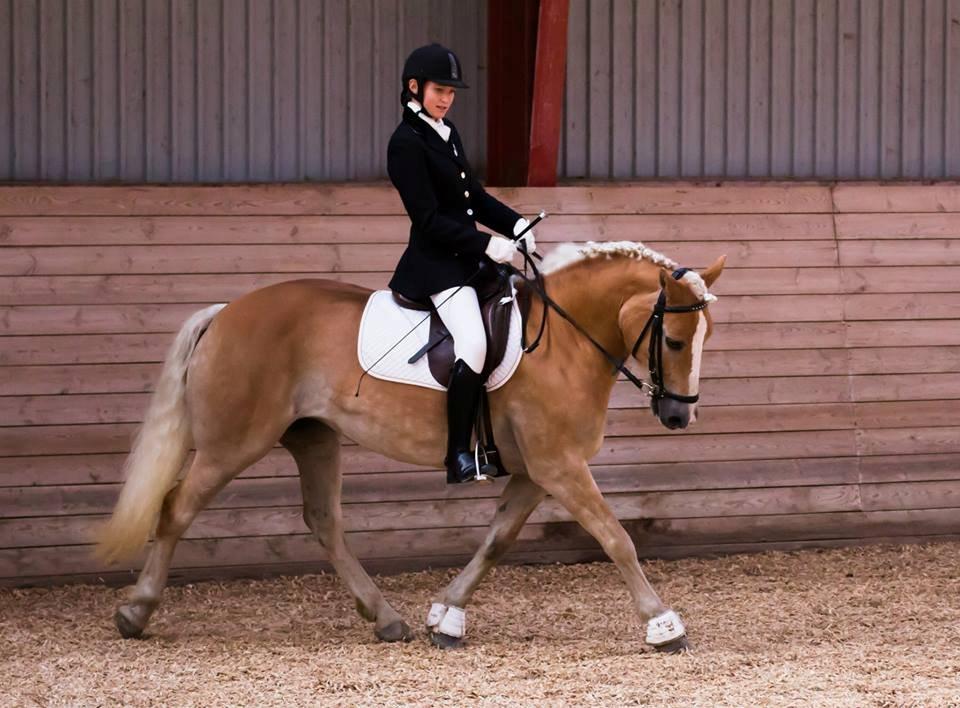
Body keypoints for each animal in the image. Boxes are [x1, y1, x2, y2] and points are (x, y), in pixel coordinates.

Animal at [96, 240, 725, 652]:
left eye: (704, 338)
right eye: (673, 340)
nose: (678, 415)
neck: (563, 340)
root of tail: (226, 313)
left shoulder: (535, 471)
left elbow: (497, 540)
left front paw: (446, 618)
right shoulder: (560, 466)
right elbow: (616, 538)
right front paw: (664, 624)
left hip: (314, 438)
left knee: (324, 522)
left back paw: (385, 619)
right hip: (233, 444)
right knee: (176, 509)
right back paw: (135, 612)